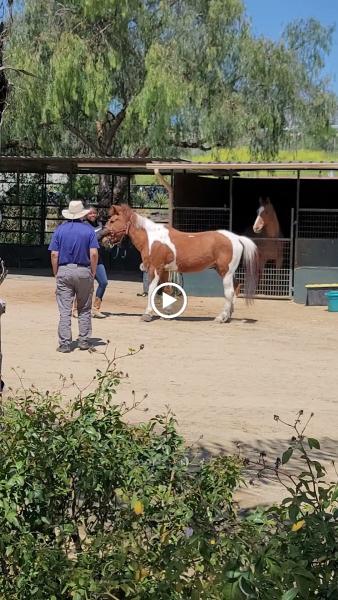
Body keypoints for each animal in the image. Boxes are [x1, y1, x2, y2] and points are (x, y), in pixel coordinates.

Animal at [105, 204, 258, 322]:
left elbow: (152, 289)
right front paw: (167, 314)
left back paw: (221, 317)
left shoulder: (154, 268)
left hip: (225, 272)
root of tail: (236, 238)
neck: (152, 238)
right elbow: (166, 289)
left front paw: (147, 314)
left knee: (229, 292)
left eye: (113, 220)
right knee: (236, 288)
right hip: (228, 272)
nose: (104, 240)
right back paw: (228, 316)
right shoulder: (165, 270)